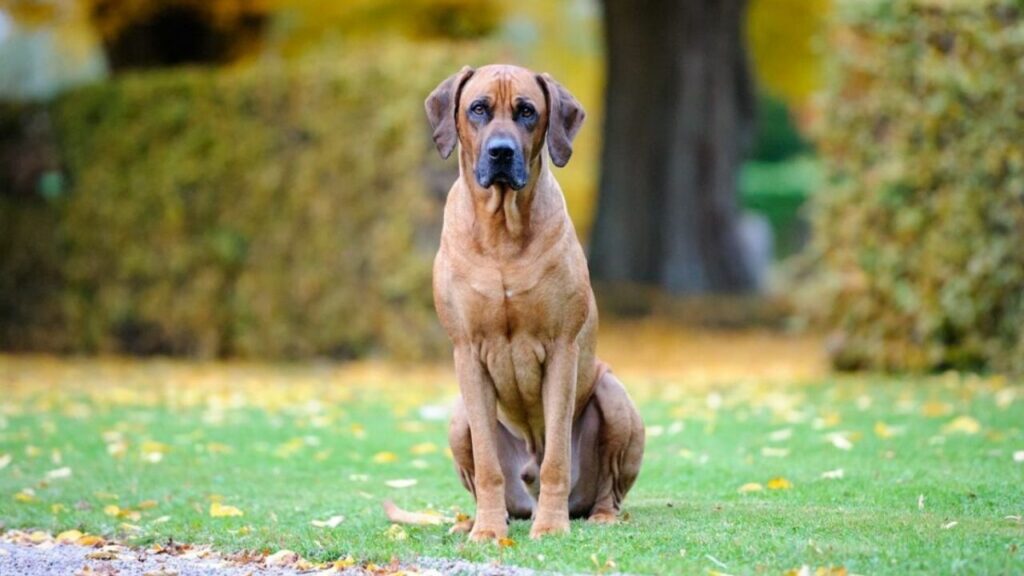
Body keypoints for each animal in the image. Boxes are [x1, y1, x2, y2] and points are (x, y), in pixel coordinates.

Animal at [428, 65, 643, 541]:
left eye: (527, 111)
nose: (501, 152)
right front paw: (488, 530)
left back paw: (597, 515)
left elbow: (557, 457)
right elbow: (488, 464)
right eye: (478, 108)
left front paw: (551, 525)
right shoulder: (467, 352)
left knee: (608, 488)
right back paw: (477, 519)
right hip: (458, 416)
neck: (502, 231)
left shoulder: (562, 349)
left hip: (612, 394)